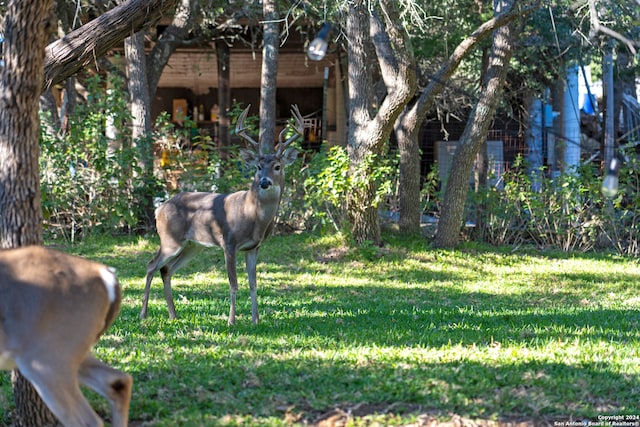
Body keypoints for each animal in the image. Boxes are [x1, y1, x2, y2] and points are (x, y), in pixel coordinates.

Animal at [139, 105, 302, 326]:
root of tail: (159, 209)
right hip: (170, 239)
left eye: (277, 166)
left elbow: (253, 283)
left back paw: (173, 315)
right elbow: (233, 283)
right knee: (151, 266)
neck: (251, 214)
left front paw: (255, 320)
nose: (264, 182)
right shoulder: (229, 242)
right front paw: (231, 321)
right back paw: (143, 314)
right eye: (258, 167)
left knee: (166, 269)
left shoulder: (254, 247)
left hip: (192, 245)